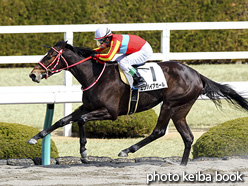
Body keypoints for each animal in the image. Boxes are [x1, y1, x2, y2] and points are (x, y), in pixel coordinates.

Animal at [28, 40, 248, 165]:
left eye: (50, 56)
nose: (33, 74)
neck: (95, 75)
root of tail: (197, 74)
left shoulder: (110, 112)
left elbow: (81, 120)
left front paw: (83, 152)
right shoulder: (88, 106)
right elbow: (62, 120)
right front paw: (35, 137)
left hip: (170, 104)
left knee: (159, 131)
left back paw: (127, 150)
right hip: (181, 110)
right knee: (188, 137)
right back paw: (182, 166)